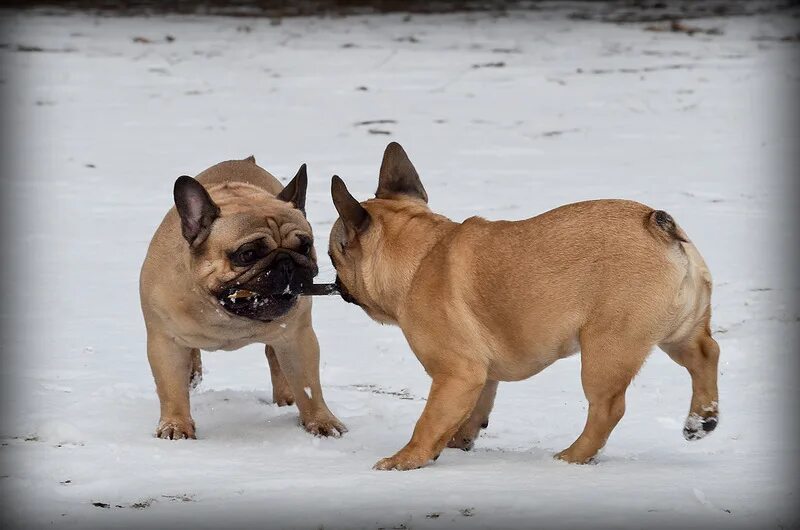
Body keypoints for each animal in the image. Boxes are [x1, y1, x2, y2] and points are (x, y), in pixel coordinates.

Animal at [141, 156, 346, 438]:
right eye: (247, 254)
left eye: (305, 246)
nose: (286, 263)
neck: (223, 311)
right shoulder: (165, 341)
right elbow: (171, 388)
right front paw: (175, 425)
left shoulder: (298, 338)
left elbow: (308, 385)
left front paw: (321, 421)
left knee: (275, 357)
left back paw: (285, 398)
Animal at [324, 142, 720, 468]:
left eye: (332, 255)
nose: (335, 281)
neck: (421, 255)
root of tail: (657, 225)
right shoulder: (478, 376)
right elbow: (471, 411)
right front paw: (457, 442)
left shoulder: (456, 372)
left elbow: (429, 420)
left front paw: (407, 459)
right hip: (679, 331)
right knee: (706, 353)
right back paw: (701, 418)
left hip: (608, 348)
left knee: (609, 408)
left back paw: (573, 456)